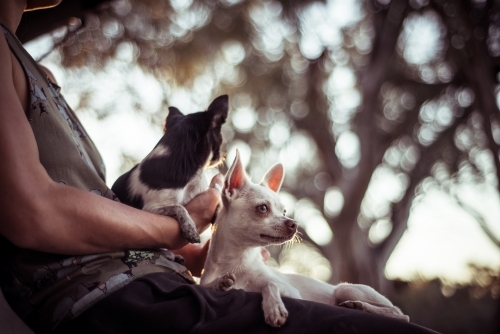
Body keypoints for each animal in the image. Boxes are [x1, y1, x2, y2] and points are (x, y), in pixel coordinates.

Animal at [200, 152, 410, 328]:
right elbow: (205, 285)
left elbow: (270, 284)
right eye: (262, 208)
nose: (294, 224)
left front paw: (274, 307)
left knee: (401, 314)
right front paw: (219, 283)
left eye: (284, 211)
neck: (237, 260)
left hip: (345, 289)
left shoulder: (292, 293)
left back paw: (360, 306)